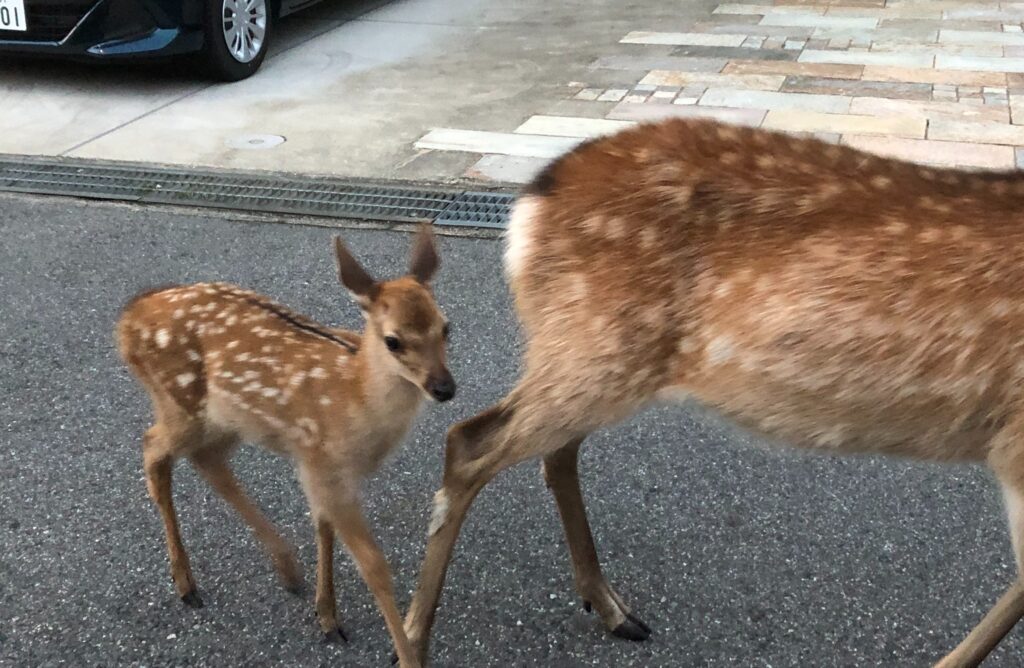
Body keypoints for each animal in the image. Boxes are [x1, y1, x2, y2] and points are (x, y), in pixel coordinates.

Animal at [116, 225, 453, 668]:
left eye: (447, 327)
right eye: (393, 340)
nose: (445, 387)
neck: (355, 398)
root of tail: (126, 320)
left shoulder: (315, 464)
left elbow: (322, 526)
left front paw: (326, 616)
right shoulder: (326, 464)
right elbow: (374, 567)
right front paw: (406, 655)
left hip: (227, 419)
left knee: (208, 461)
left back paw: (287, 571)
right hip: (180, 401)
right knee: (154, 448)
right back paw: (187, 585)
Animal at [401, 118, 1024, 667]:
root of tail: (531, 204)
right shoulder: (1012, 441)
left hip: (588, 354)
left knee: (550, 452)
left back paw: (613, 610)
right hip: (596, 347)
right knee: (470, 441)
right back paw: (411, 642)